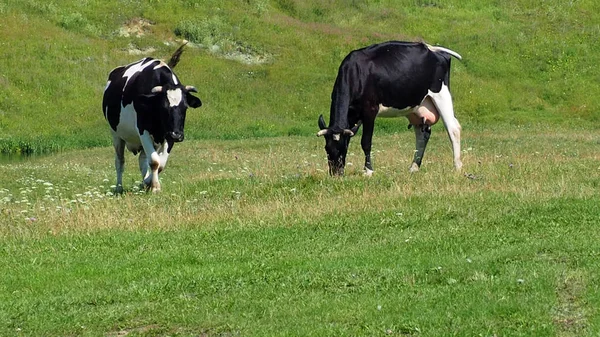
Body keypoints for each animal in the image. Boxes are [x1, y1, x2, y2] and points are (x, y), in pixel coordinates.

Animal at [102, 42, 202, 192]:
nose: (177, 136)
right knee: (120, 161)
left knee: (142, 160)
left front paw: (147, 183)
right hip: (116, 134)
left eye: (185, 107)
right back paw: (119, 187)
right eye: (163, 107)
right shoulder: (143, 129)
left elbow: (160, 163)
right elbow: (155, 161)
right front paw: (154, 187)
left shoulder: (169, 133)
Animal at [318, 41, 464, 176]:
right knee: (423, 134)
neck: (356, 73)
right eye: (326, 148)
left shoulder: (370, 110)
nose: (336, 173)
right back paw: (414, 167)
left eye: (341, 148)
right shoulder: (351, 116)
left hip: (441, 94)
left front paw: (368, 171)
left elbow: (366, 142)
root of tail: (432, 48)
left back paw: (457, 166)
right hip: (416, 106)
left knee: (453, 128)